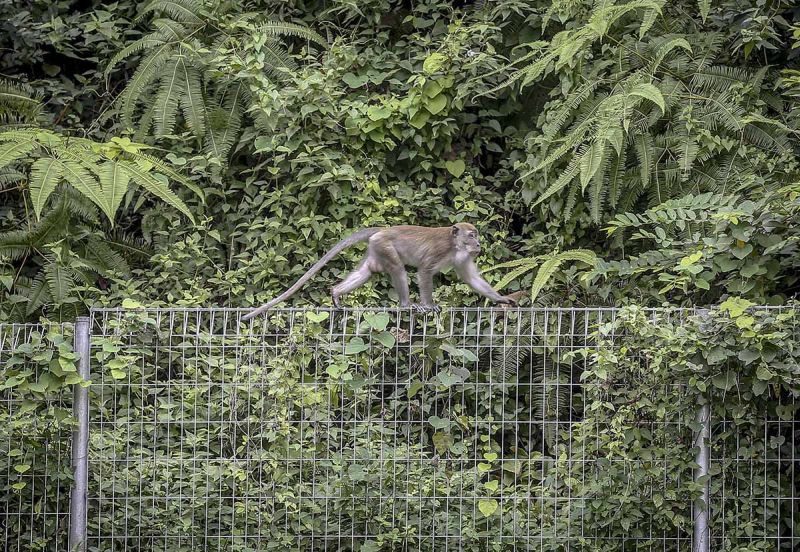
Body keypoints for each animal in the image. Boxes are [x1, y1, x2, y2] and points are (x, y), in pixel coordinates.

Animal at [241, 222, 518, 321]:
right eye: (472, 235)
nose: (478, 244)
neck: (455, 245)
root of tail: (383, 229)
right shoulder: (440, 251)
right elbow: (424, 272)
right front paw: (429, 305)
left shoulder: (463, 258)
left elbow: (471, 278)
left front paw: (502, 299)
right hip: (385, 246)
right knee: (399, 269)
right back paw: (407, 305)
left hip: (376, 249)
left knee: (367, 272)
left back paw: (336, 293)